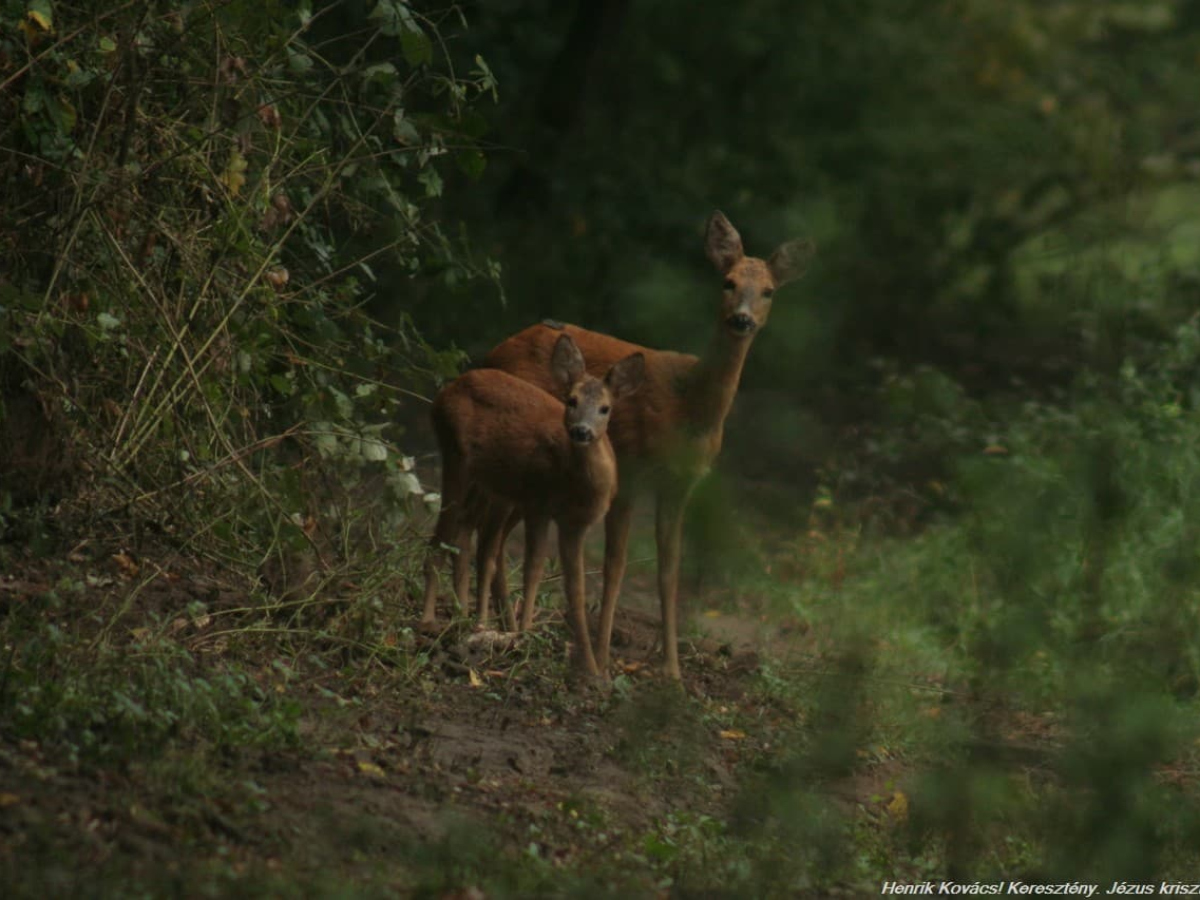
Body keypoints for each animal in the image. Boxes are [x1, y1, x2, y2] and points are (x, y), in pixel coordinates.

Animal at [422, 336, 648, 681]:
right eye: (571, 400)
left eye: (605, 408)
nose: (581, 431)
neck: (580, 487)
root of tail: (446, 391)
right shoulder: (539, 505)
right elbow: (534, 569)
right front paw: (525, 634)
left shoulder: (574, 524)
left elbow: (575, 589)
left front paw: (592, 670)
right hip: (456, 457)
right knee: (441, 538)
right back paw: (430, 621)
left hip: (490, 483)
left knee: (467, 536)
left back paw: (467, 620)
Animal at [482, 213, 811, 676]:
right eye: (727, 282)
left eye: (768, 290)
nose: (742, 319)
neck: (688, 408)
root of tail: (493, 352)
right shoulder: (633, 469)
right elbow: (615, 565)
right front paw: (602, 662)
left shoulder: (681, 483)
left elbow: (669, 571)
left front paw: (672, 672)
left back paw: (506, 626)